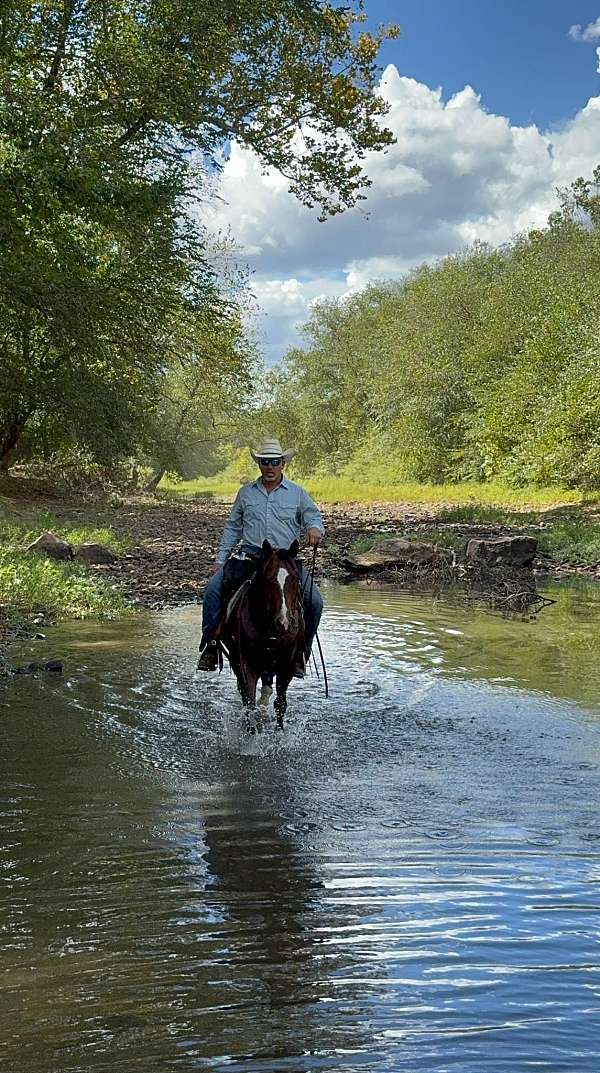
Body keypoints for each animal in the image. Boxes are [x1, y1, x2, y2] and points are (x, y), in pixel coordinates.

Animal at [221, 540, 304, 725]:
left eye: (295, 577)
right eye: (268, 578)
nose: (284, 622)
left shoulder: (285, 668)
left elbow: (280, 705)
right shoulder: (247, 667)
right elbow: (249, 706)